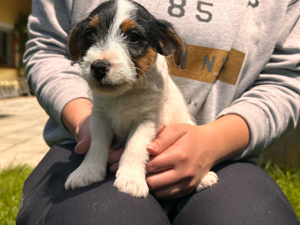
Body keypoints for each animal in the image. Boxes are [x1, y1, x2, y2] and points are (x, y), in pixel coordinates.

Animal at [64, 0, 217, 197]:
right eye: (89, 34)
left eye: (134, 37)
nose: (98, 67)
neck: (124, 94)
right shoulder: (99, 117)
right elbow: (96, 145)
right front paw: (87, 171)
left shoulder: (147, 120)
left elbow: (135, 146)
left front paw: (131, 179)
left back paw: (205, 177)